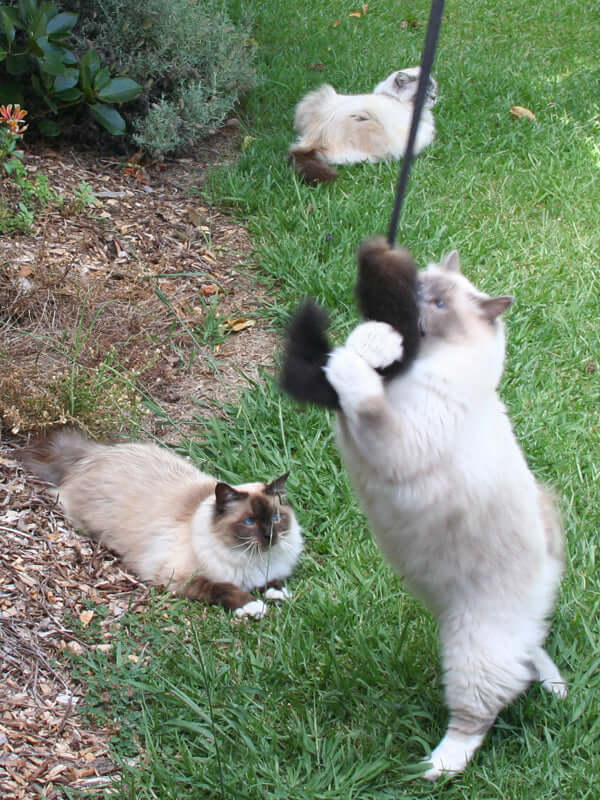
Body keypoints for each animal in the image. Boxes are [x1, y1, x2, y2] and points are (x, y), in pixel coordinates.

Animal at [20, 432, 302, 620]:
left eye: (275, 518)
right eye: (249, 522)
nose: (270, 536)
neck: (253, 560)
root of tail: (94, 454)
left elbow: (273, 581)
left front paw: (280, 594)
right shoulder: (179, 578)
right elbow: (225, 587)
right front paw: (253, 606)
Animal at [284, 241, 564, 780]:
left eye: (437, 305)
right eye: (419, 286)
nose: (408, 297)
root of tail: (547, 575)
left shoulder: (391, 438)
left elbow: (363, 394)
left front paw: (357, 354)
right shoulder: (351, 433)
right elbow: (355, 379)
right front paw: (366, 343)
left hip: (472, 650)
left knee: (480, 712)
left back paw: (435, 768)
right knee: (527, 657)